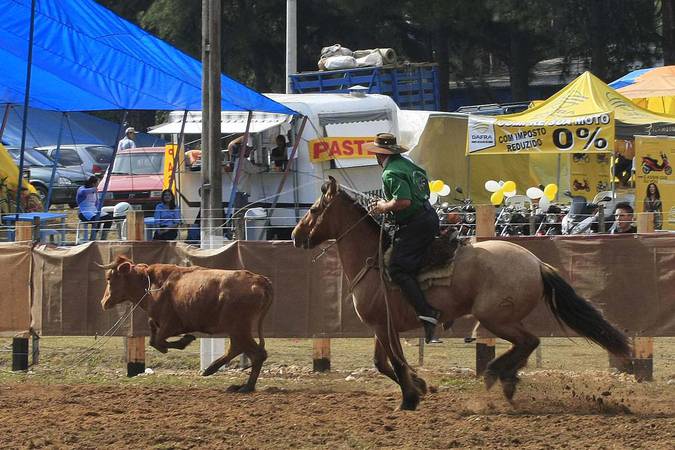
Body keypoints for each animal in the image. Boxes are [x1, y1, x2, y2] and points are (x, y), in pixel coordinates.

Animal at [97, 255, 272, 392]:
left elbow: (158, 340)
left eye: (109, 278)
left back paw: (245, 386)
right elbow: (153, 336)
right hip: (236, 329)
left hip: (238, 327)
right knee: (239, 348)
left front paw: (185, 340)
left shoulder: (172, 325)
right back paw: (214, 370)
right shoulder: (161, 322)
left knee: (257, 353)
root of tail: (260, 280)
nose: (103, 302)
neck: (151, 284)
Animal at [292, 177, 632, 412]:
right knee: (526, 344)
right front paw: (420, 385)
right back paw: (506, 378)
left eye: (314, 209)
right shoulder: (381, 327)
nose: (295, 236)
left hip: (494, 317)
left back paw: (497, 374)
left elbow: (396, 363)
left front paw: (409, 398)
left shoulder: (383, 327)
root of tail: (537, 263)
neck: (374, 261)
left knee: (529, 341)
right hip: (500, 319)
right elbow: (383, 363)